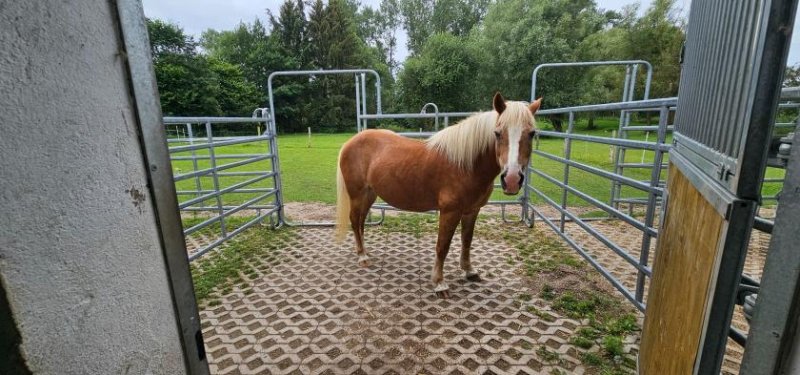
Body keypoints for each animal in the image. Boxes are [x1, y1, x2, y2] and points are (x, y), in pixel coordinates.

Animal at [334, 93, 540, 300]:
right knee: (354, 221)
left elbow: (467, 241)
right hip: (357, 194)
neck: (465, 165)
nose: (512, 179)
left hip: (370, 194)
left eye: (531, 133)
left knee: (361, 222)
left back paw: (364, 252)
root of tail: (350, 142)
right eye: (497, 133)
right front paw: (440, 283)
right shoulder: (450, 212)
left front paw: (469, 271)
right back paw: (362, 256)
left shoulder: (472, 211)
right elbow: (443, 246)